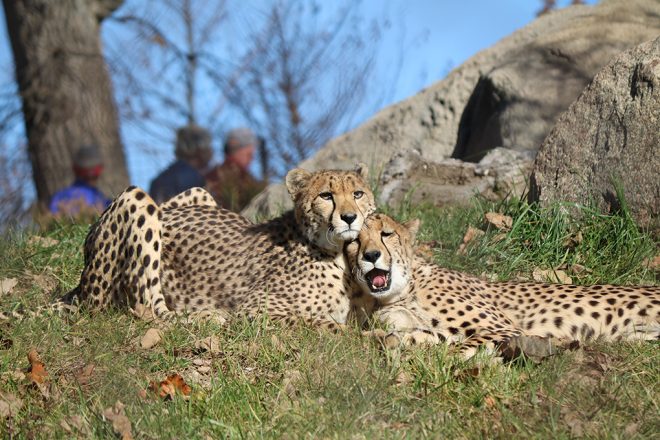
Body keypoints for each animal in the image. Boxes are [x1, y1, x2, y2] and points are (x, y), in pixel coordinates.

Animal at [346, 213, 660, 354]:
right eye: (354, 241)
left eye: (386, 234)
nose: (371, 256)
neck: (401, 292)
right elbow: (422, 334)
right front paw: (386, 339)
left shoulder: (505, 327)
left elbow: (459, 346)